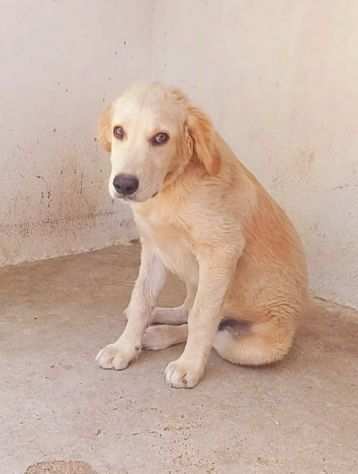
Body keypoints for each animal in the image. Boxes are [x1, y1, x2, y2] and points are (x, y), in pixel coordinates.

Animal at [95, 82, 308, 388]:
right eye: (119, 131)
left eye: (161, 138)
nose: (123, 184)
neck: (170, 187)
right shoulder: (155, 248)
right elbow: (141, 300)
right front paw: (125, 347)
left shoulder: (222, 250)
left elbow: (203, 317)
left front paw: (190, 366)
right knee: (187, 309)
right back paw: (157, 322)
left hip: (256, 344)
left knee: (217, 330)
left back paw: (160, 335)